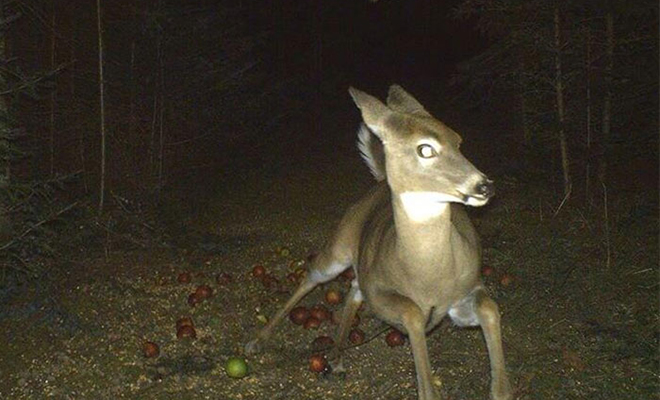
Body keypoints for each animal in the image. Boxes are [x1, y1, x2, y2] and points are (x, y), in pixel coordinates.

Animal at [245, 84, 512, 400]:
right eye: (425, 149)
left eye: (458, 140)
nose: (484, 186)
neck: (428, 277)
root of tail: (380, 182)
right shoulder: (380, 293)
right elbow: (412, 314)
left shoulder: (467, 290)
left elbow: (490, 308)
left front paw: (500, 388)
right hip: (339, 245)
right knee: (312, 277)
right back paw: (257, 342)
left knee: (352, 288)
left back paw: (337, 357)